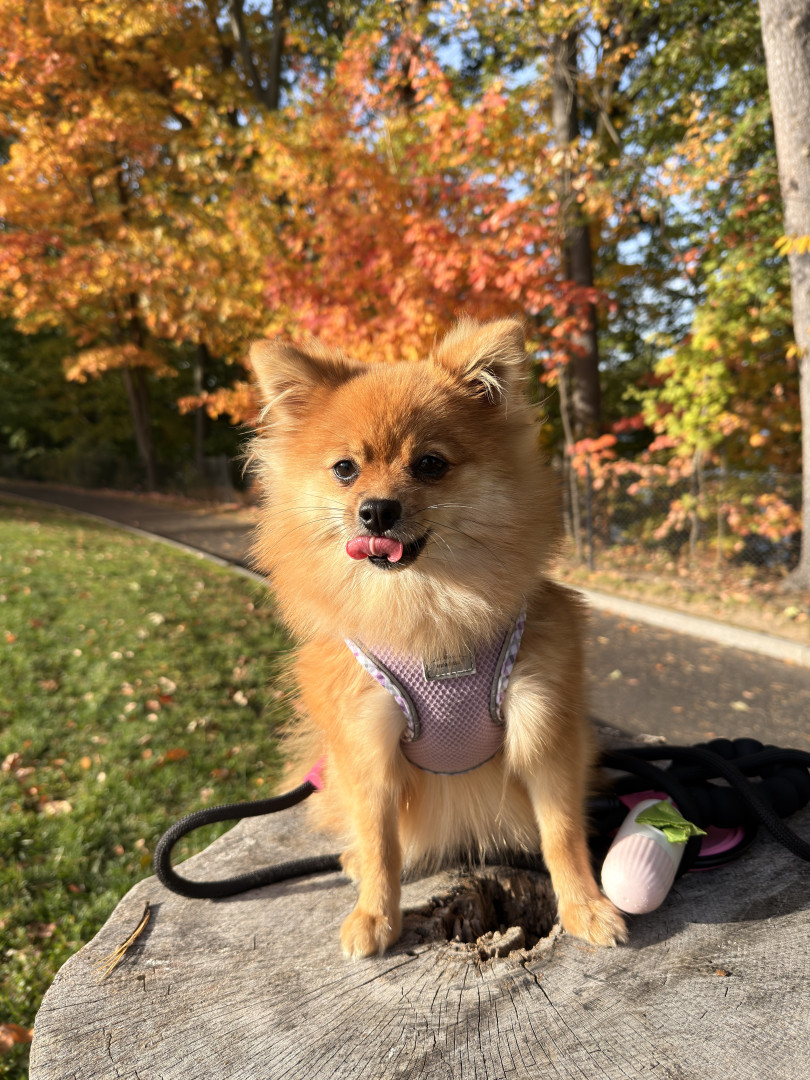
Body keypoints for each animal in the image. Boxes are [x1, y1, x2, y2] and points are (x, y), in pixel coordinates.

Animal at [248, 317, 626, 957]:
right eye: (345, 469)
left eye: (429, 464)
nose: (376, 510)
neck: (431, 610)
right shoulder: (366, 738)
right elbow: (380, 840)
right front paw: (375, 914)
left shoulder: (542, 725)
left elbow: (561, 831)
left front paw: (585, 905)